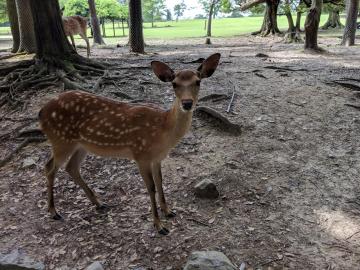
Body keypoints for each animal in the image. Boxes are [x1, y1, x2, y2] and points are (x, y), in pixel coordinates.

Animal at [38, 53, 221, 234]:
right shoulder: (141, 154)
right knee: (50, 168)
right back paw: (54, 212)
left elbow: (160, 182)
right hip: (61, 140)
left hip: (81, 144)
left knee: (71, 167)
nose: (187, 103)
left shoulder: (157, 158)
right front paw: (159, 225)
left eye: (198, 81)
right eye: (174, 83)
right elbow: (151, 187)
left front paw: (168, 211)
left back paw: (99, 203)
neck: (164, 132)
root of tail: (41, 112)